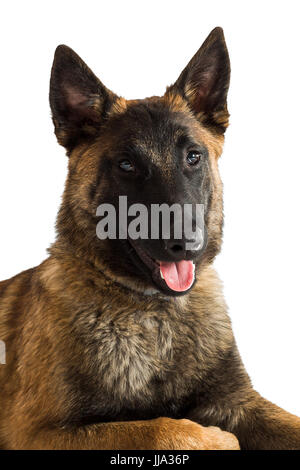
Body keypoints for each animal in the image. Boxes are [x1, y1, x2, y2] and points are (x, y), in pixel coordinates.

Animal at [0, 26, 300, 452]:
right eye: (127, 164)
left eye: (193, 157)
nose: (186, 242)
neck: (155, 315)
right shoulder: (35, 433)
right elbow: (155, 428)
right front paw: (213, 439)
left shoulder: (240, 402)